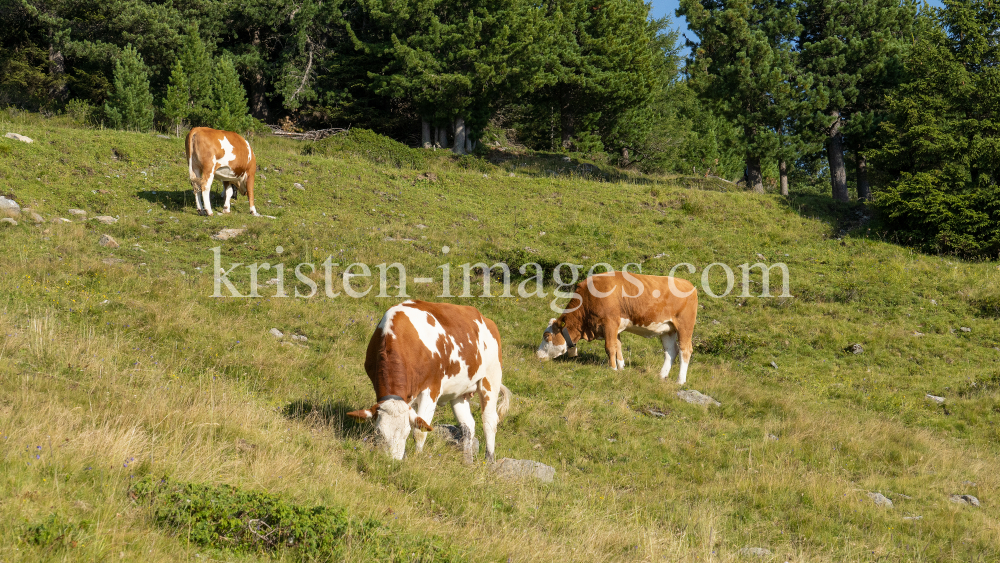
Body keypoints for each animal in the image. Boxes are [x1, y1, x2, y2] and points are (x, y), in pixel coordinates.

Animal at [348, 302, 512, 460]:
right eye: (378, 432)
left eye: (405, 433)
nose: (392, 460)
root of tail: (486, 319)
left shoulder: (432, 389)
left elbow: (420, 431)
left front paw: (417, 458)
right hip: (460, 392)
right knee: (468, 425)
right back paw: (467, 461)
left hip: (491, 379)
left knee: (489, 422)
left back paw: (489, 460)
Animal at [540, 270, 696, 386]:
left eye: (547, 336)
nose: (538, 355)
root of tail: (688, 284)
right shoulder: (616, 327)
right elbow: (617, 346)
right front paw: (621, 367)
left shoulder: (610, 323)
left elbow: (609, 347)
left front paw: (612, 368)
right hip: (667, 329)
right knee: (671, 351)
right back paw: (661, 375)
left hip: (684, 325)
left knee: (685, 350)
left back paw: (680, 381)